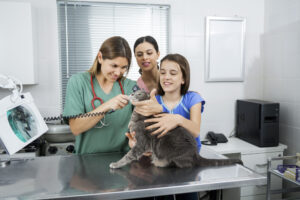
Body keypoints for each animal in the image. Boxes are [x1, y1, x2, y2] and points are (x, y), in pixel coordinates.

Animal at [109, 90, 243, 169]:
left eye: (139, 93)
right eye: (134, 92)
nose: (131, 94)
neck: (137, 116)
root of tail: (196, 153)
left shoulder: (141, 142)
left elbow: (129, 155)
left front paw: (116, 164)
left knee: (184, 164)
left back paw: (160, 162)